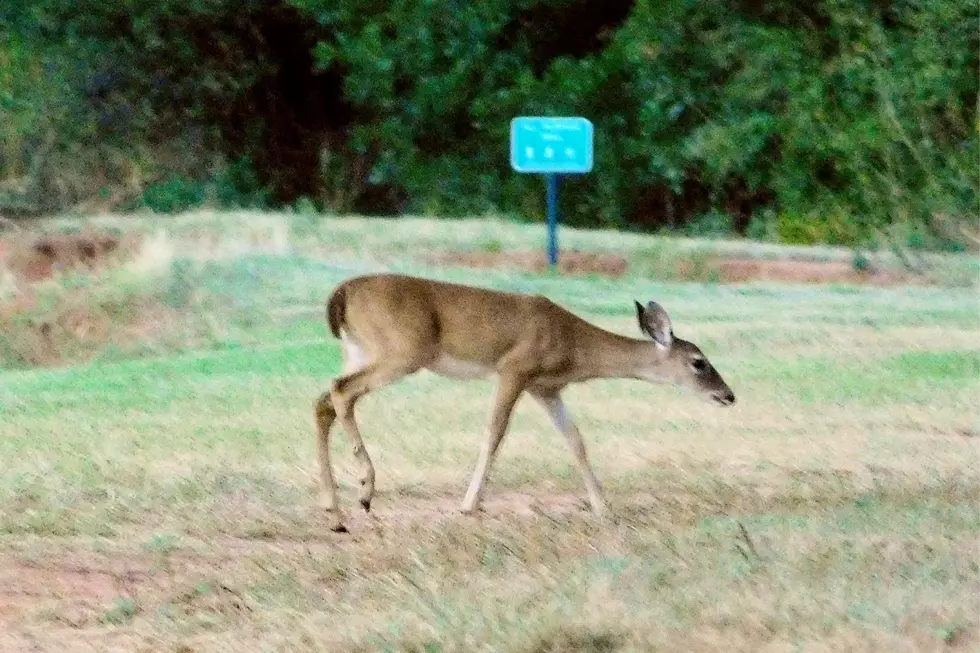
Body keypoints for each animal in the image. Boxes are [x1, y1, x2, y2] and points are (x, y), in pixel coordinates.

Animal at [314, 270, 736, 528]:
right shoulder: (514, 369)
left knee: (324, 401)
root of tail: (341, 294)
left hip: (361, 351)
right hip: (402, 351)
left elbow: (575, 440)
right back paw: (365, 490)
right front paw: (469, 505)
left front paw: (603, 506)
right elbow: (495, 433)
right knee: (340, 391)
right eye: (699, 362)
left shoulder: (546, 388)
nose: (728, 395)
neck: (573, 347)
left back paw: (334, 511)